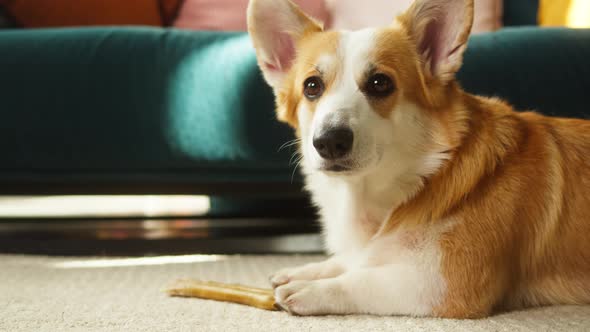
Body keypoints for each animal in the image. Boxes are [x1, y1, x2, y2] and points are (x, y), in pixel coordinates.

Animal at [247, 0, 590, 318]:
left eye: (380, 83)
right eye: (312, 86)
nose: (329, 142)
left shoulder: (446, 283)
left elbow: (363, 280)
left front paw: (308, 289)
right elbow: (352, 261)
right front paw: (301, 271)